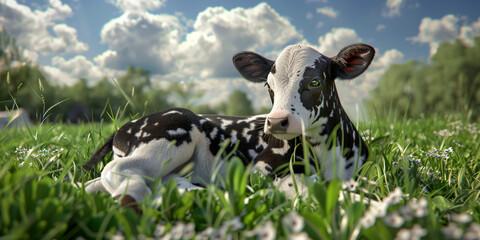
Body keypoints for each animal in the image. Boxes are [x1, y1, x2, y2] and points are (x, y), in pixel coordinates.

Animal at [82, 43, 376, 208]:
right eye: (268, 86)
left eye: (315, 81)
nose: (276, 121)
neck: (327, 151)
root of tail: (127, 126)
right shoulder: (264, 169)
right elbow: (306, 187)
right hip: (171, 133)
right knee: (117, 171)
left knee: (94, 184)